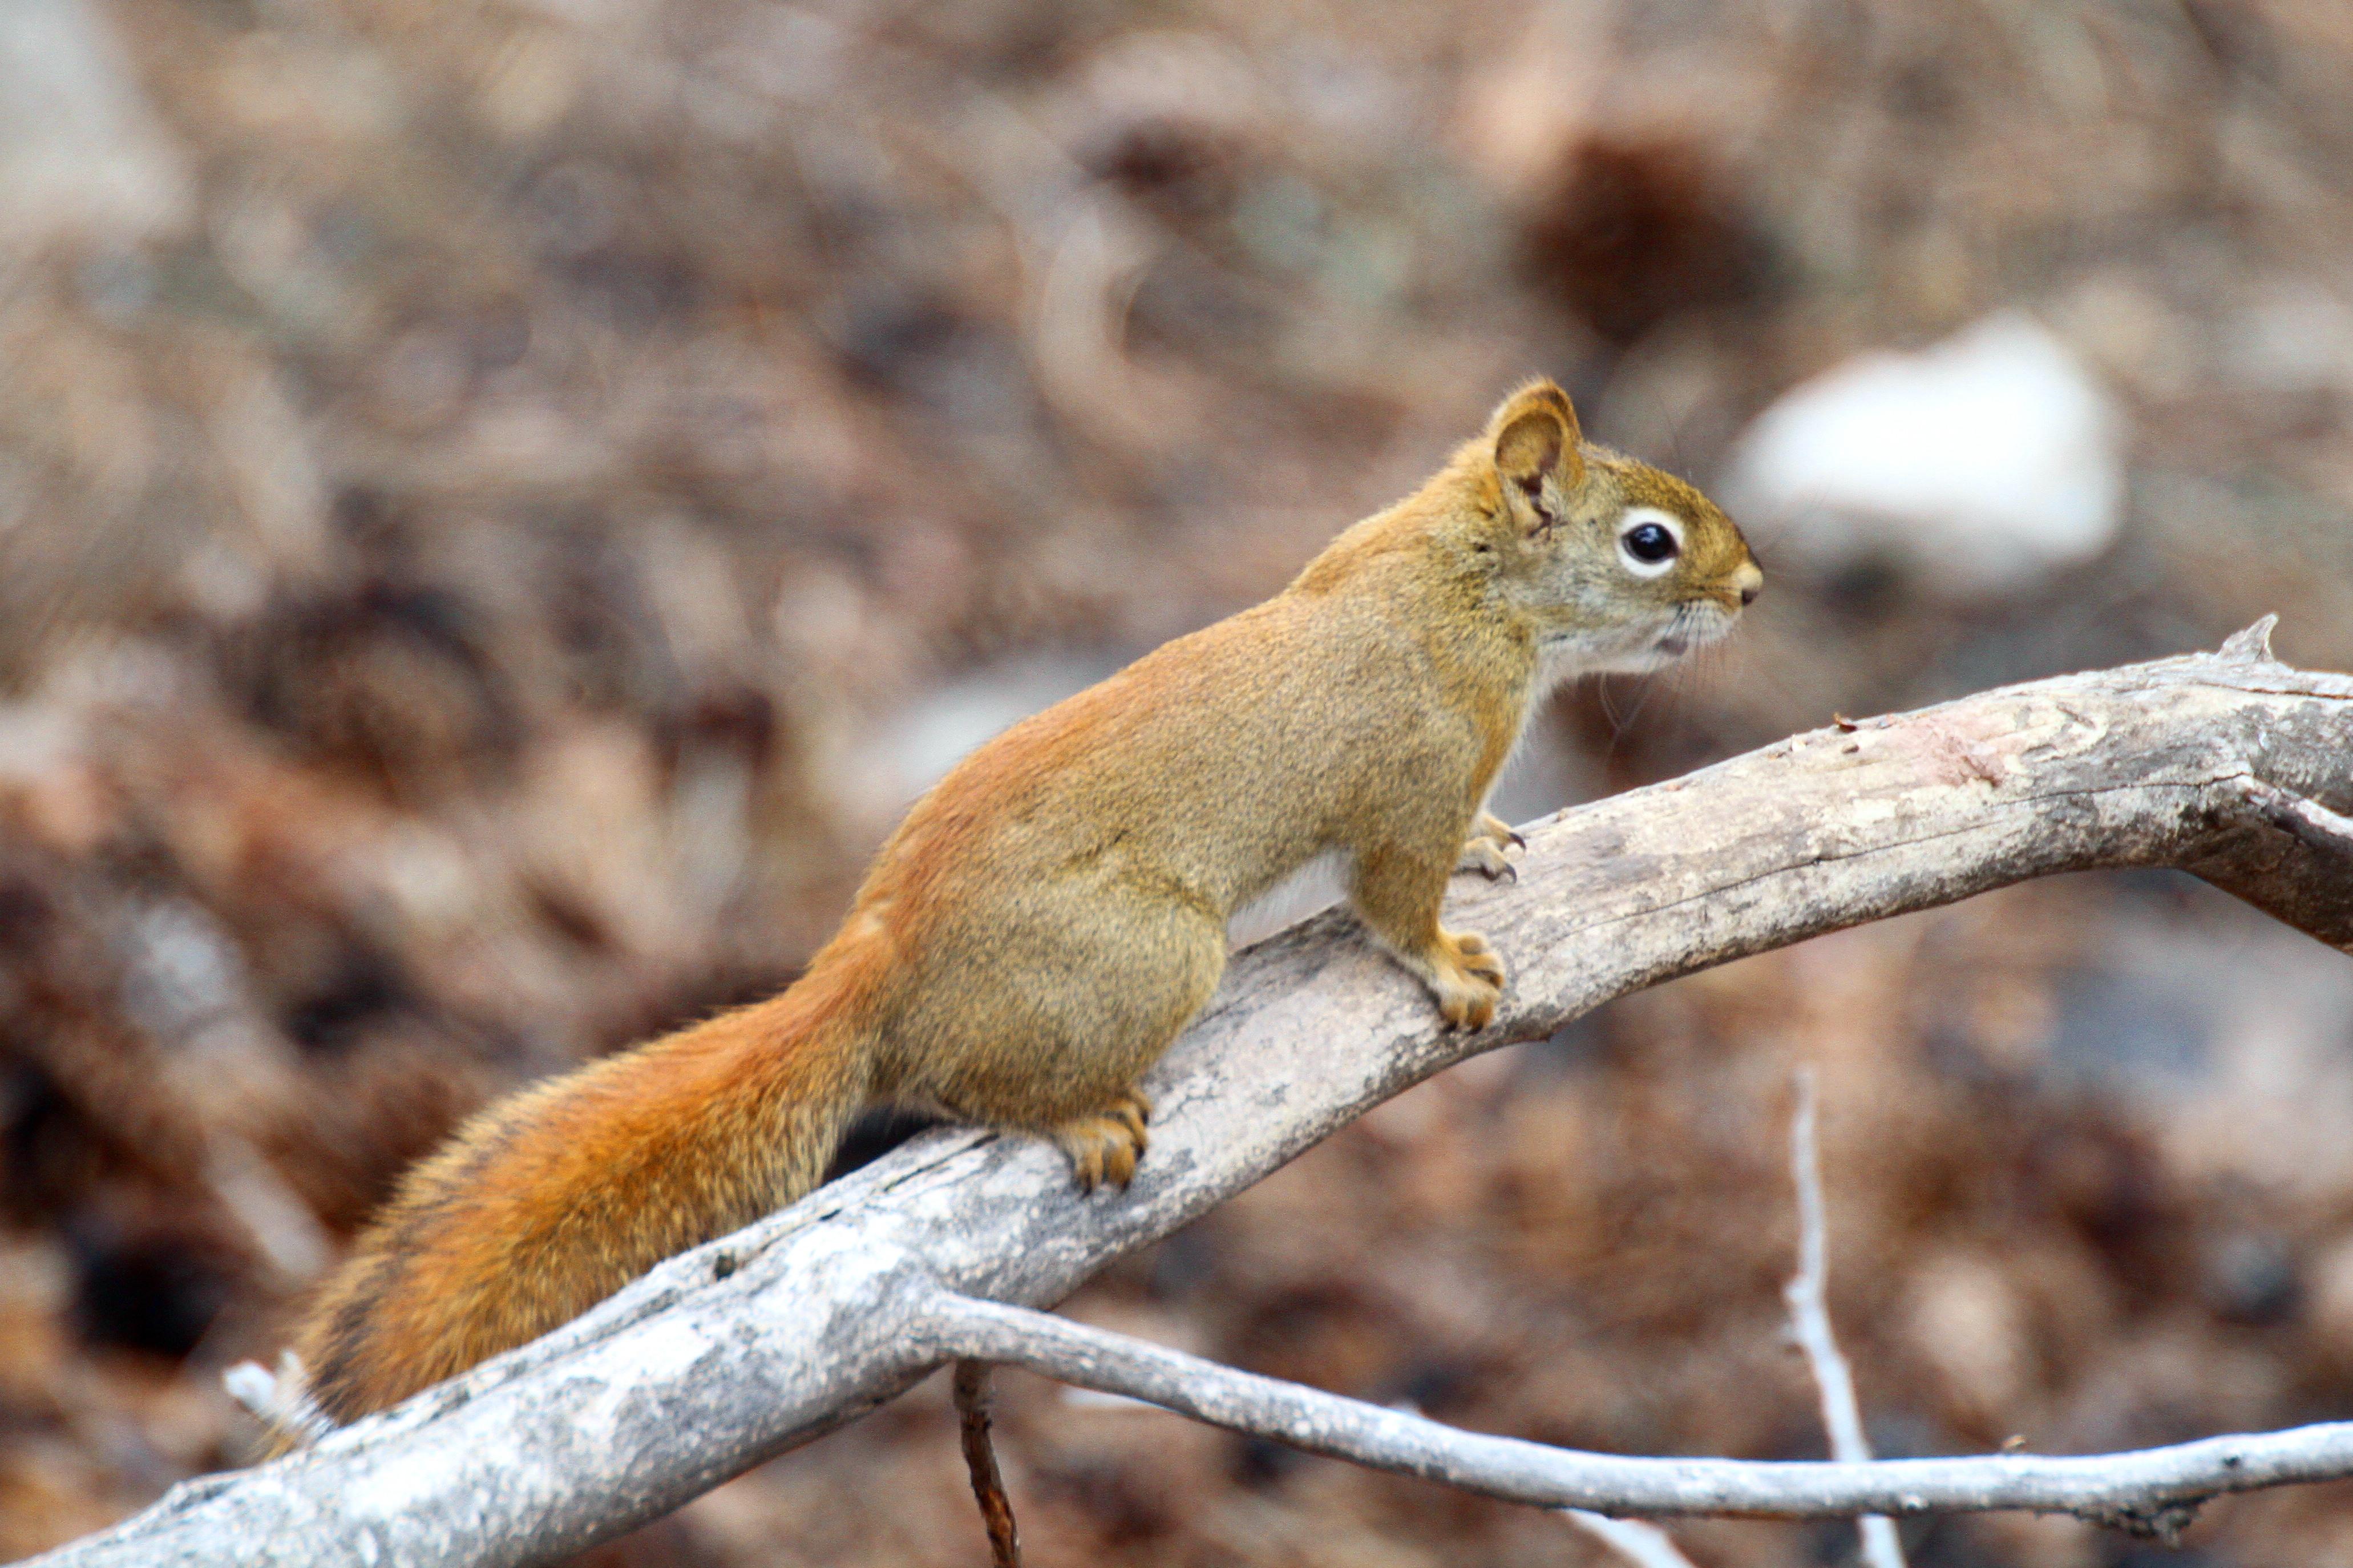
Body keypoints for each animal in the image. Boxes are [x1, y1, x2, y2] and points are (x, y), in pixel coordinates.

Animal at [285, 379, 1762, 1429]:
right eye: (1648, 543)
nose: (1751, 589)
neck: (1463, 581)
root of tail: (876, 963)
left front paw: (1495, 841)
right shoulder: (1411, 770)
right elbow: (1392, 904)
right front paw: (1450, 963)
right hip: (1153, 955)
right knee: (962, 1083)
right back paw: (1076, 1114)